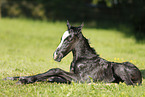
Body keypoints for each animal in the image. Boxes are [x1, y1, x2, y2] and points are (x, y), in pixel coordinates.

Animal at [3, 20, 143, 85]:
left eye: (69, 39)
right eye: (61, 38)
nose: (55, 55)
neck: (84, 59)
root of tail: (140, 74)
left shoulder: (81, 79)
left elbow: (55, 70)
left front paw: (24, 80)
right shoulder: (71, 77)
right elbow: (52, 76)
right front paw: (15, 78)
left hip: (118, 67)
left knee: (129, 84)